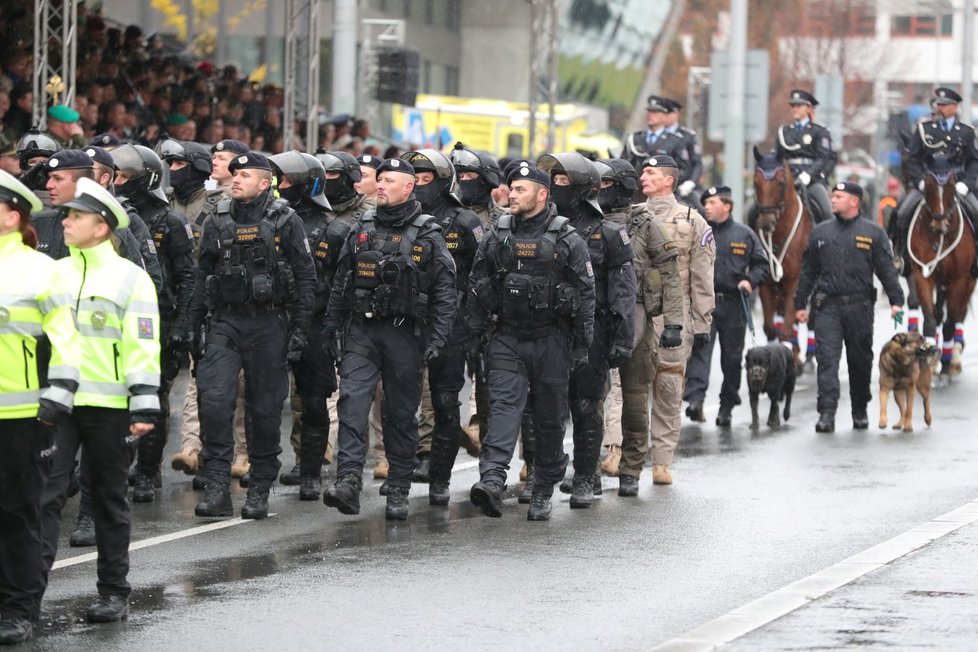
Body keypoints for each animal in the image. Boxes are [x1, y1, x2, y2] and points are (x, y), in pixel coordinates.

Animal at [752, 149, 812, 372]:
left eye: (780, 182)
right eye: (756, 182)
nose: (765, 223)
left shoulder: (796, 281)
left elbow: (787, 326)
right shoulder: (766, 282)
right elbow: (770, 327)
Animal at [904, 156, 972, 380]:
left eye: (951, 185)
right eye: (928, 184)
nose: (939, 225)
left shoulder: (959, 279)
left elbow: (951, 322)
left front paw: (946, 364)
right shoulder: (922, 274)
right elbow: (930, 318)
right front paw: (929, 361)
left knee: (957, 315)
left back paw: (954, 359)